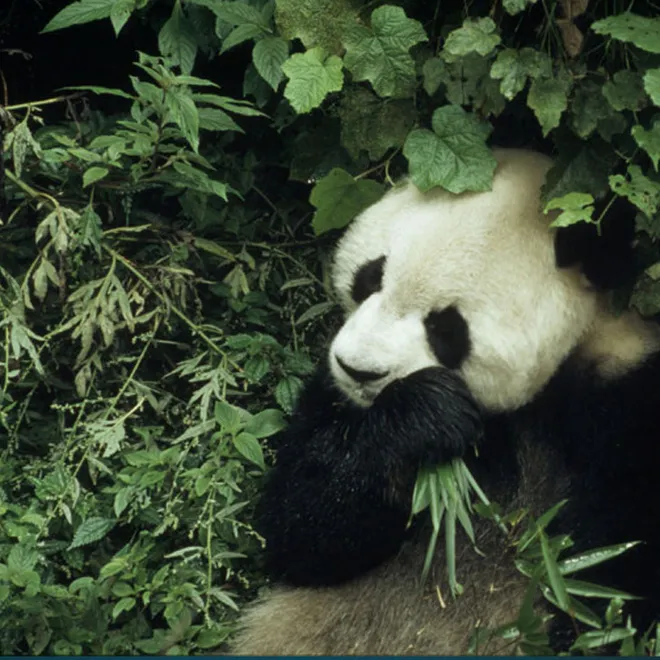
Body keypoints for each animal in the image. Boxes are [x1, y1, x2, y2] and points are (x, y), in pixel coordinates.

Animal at [230, 149, 660, 655]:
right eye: (370, 277)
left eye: (446, 327)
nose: (358, 370)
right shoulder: (333, 396)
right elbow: (304, 529)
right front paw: (425, 417)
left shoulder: (626, 395)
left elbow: (620, 568)